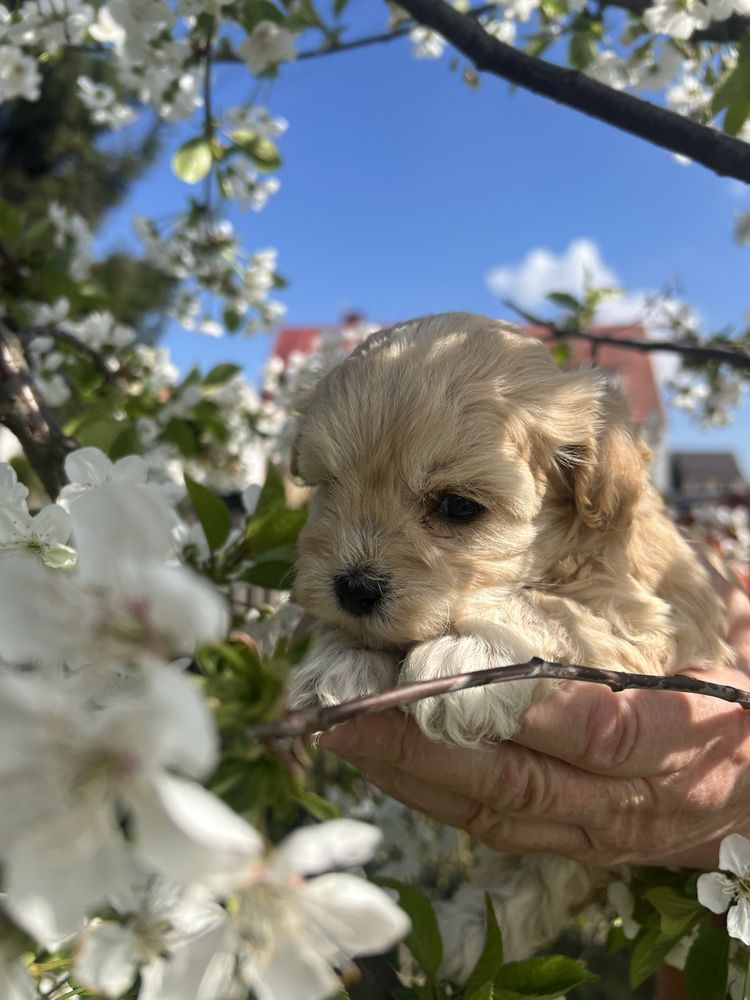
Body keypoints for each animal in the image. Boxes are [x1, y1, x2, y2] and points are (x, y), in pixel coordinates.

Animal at [288, 312, 728, 976]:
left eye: (458, 507)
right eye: (328, 487)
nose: (354, 587)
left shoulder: (652, 622)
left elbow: (553, 612)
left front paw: (470, 651)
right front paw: (341, 659)